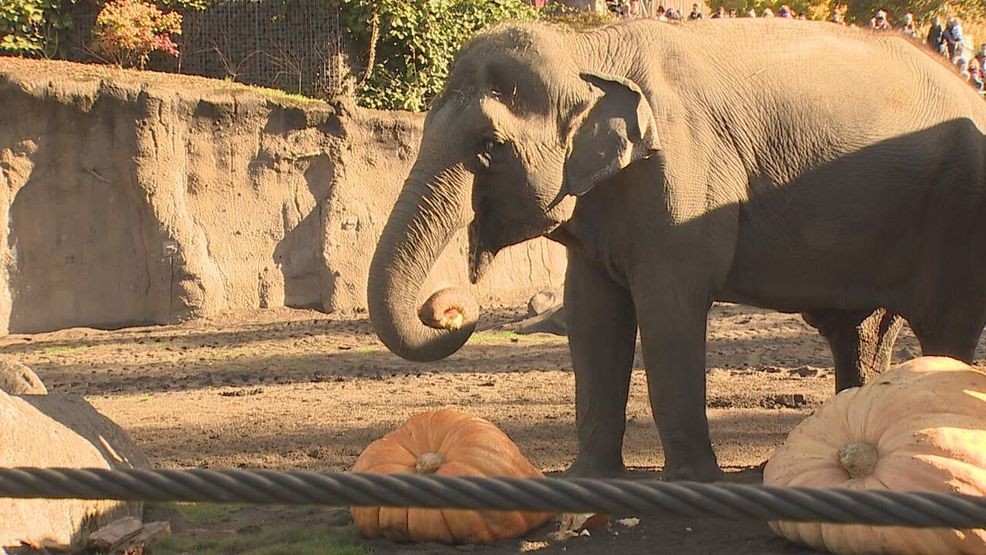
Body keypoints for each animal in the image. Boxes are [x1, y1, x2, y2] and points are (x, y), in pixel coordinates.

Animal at [364, 19, 984, 482]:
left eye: (491, 146)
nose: (448, 308)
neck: (586, 49)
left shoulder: (683, 172)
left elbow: (668, 306)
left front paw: (691, 481)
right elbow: (593, 313)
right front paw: (590, 479)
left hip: (956, 213)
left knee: (944, 327)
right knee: (860, 332)